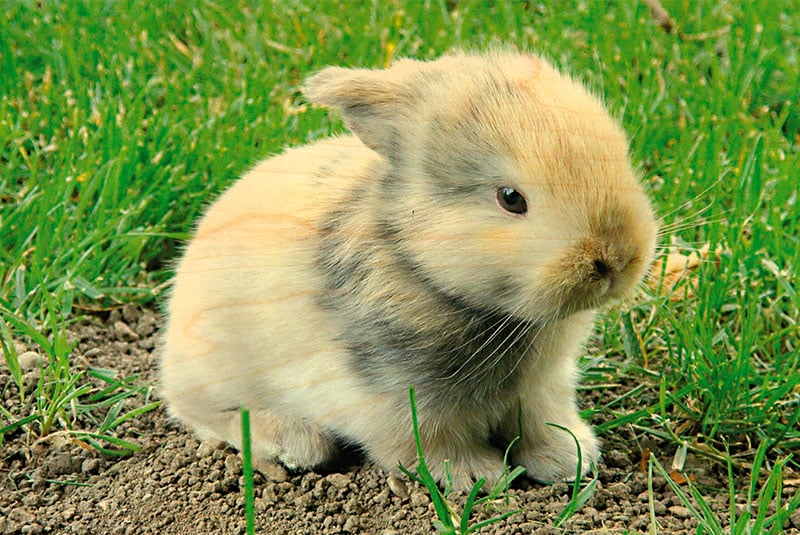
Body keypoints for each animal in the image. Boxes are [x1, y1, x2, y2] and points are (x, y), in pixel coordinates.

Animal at [159, 49, 658, 491]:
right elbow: (429, 444)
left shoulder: (543, 387)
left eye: (620, 155)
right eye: (511, 198)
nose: (617, 260)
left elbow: (540, 422)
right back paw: (292, 443)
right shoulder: (400, 400)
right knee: (197, 409)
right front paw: (477, 477)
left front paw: (569, 459)